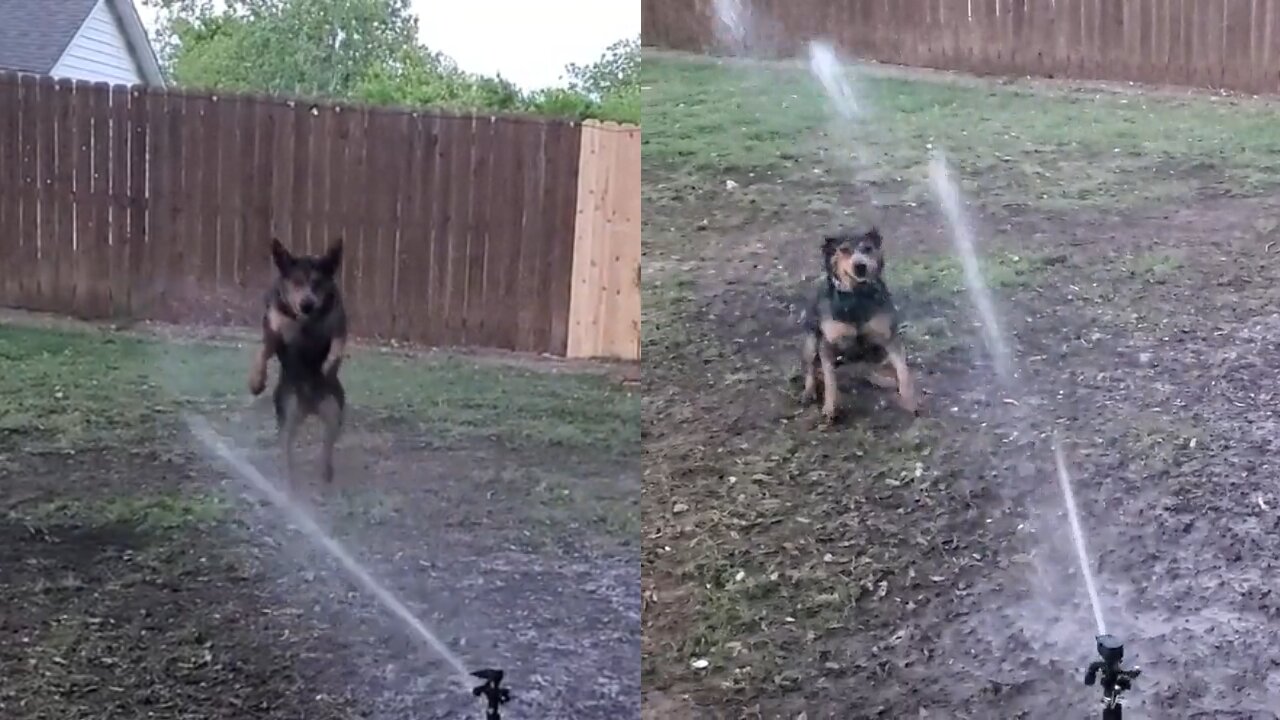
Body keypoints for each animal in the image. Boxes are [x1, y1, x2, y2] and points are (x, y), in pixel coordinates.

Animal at [247, 237, 348, 481]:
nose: (307, 304)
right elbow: (262, 352)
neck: (304, 321)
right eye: (295, 282)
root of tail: (309, 407)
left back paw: (325, 472)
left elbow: (337, 348)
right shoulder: (273, 331)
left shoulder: (338, 327)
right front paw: (256, 381)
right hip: (288, 410)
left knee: (327, 444)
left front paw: (329, 366)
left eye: (318, 282)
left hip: (333, 409)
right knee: (286, 448)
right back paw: (287, 478)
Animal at [798, 225, 921, 420]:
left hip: (878, 352)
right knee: (811, 368)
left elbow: (903, 372)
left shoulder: (890, 338)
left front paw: (910, 401)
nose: (860, 266)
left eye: (868, 248)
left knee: (867, 368)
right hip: (811, 341)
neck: (857, 297)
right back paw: (808, 392)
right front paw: (830, 408)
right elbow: (830, 381)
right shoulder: (827, 344)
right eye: (844, 250)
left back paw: (880, 380)